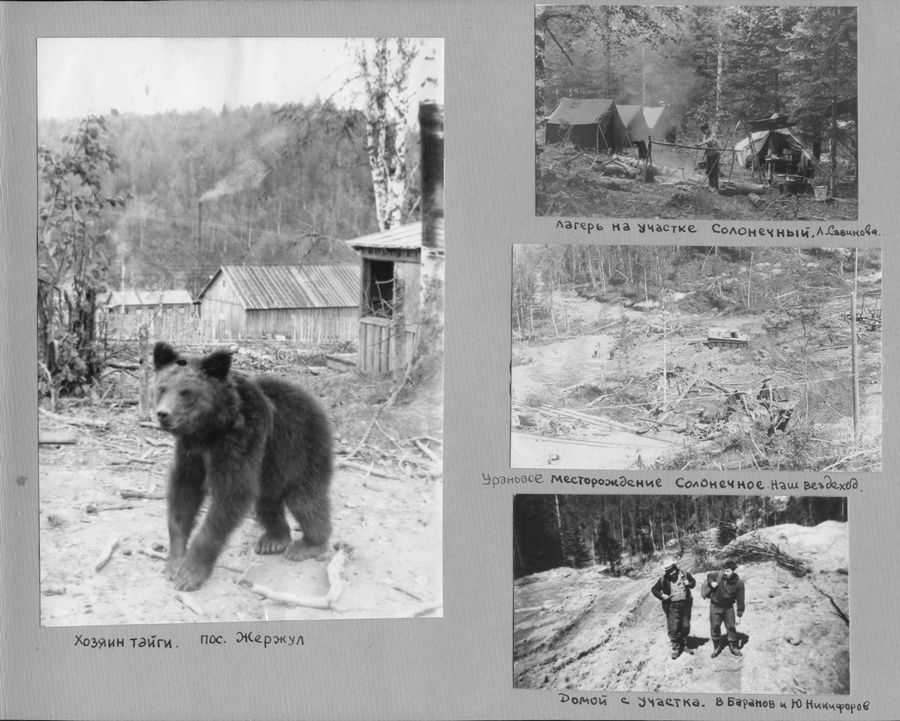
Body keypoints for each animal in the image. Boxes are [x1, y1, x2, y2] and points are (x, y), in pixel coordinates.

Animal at [151, 344, 334, 592]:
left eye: (186, 392)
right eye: (162, 387)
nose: (163, 414)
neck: (210, 430)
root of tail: (315, 401)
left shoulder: (242, 438)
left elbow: (232, 493)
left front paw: (190, 574)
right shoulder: (190, 452)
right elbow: (184, 493)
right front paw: (174, 562)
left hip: (302, 448)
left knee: (305, 500)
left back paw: (309, 544)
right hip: (270, 468)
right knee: (266, 502)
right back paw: (274, 539)